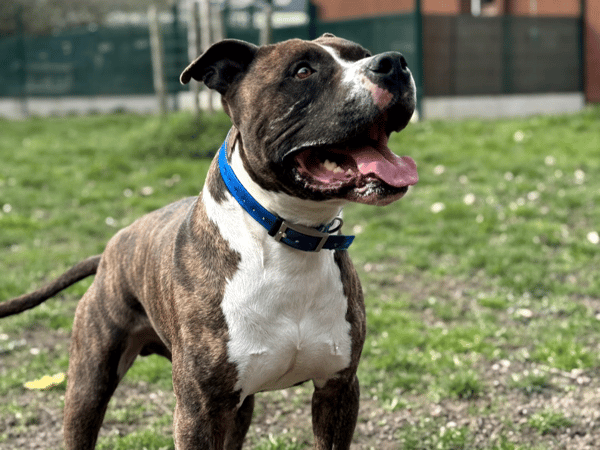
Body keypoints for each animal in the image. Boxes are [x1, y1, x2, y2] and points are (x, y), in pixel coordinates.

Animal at [0, 33, 417, 449]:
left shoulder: (338, 389)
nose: (394, 62)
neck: (289, 239)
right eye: (302, 71)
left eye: (363, 54)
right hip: (90, 383)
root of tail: (110, 250)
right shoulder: (199, 411)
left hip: (239, 404)